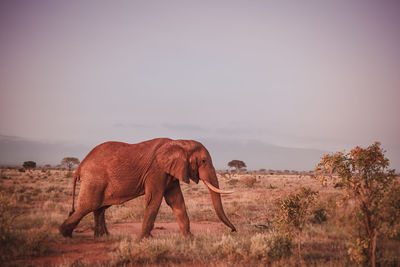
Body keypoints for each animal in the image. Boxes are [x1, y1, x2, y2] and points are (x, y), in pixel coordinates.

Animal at [57, 137, 236, 240]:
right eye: (204, 161)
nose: (234, 231)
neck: (180, 141)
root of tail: (80, 166)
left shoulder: (169, 173)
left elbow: (176, 201)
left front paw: (190, 238)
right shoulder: (156, 171)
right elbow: (154, 200)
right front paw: (146, 239)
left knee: (99, 207)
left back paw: (103, 237)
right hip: (94, 180)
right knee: (88, 206)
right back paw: (64, 234)